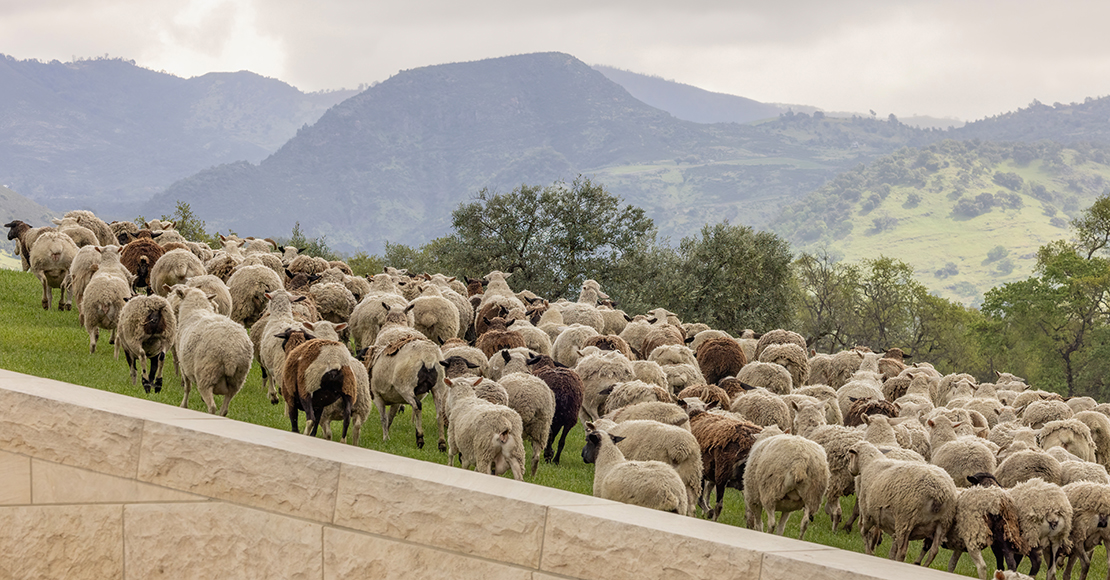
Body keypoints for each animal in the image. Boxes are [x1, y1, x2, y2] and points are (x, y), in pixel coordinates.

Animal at [171, 286, 252, 415]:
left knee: (212, 406)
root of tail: (231, 354)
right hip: (238, 379)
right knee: (224, 409)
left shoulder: (184, 365)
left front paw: (183, 406)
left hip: (206, 373)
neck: (196, 309)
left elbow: (187, 388)